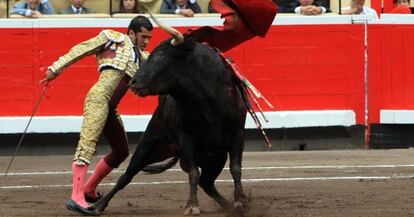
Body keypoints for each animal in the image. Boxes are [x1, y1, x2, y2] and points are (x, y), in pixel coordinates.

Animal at [94, 37, 249, 215]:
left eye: (160, 55)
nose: (133, 82)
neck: (208, 100)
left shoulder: (238, 134)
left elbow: (236, 169)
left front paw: (239, 203)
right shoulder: (187, 138)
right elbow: (193, 173)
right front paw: (192, 206)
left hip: (216, 157)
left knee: (207, 183)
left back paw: (231, 205)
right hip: (149, 145)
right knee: (126, 176)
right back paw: (97, 205)